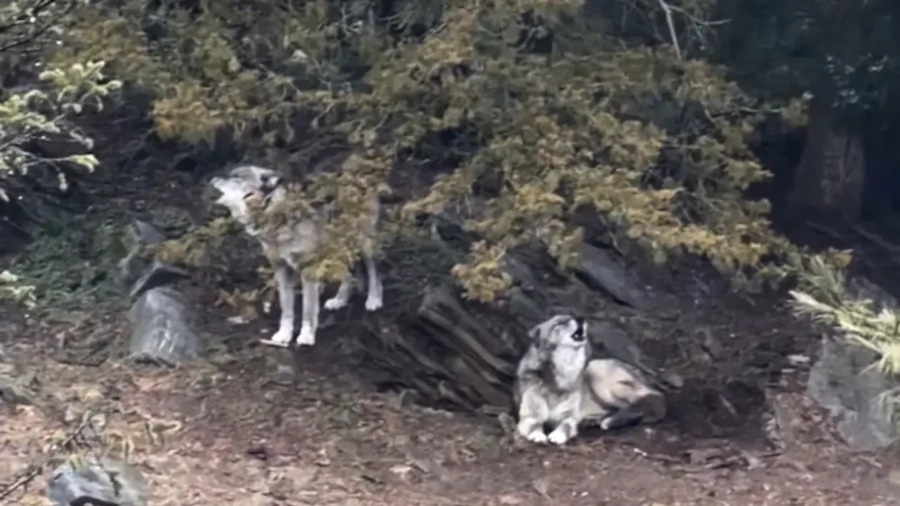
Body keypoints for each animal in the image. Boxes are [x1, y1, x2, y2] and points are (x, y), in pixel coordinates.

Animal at [209, 164, 383, 348]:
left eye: (236, 177)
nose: (212, 179)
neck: (275, 214)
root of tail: (358, 174)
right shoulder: (281, 270)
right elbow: (286, 308)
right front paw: (284, 335)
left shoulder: (309, 269)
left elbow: (308, 308)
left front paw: (306, 336)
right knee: (350, 275)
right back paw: (340, 300)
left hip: (365, 244)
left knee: (374, 273)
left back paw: (374, 300)